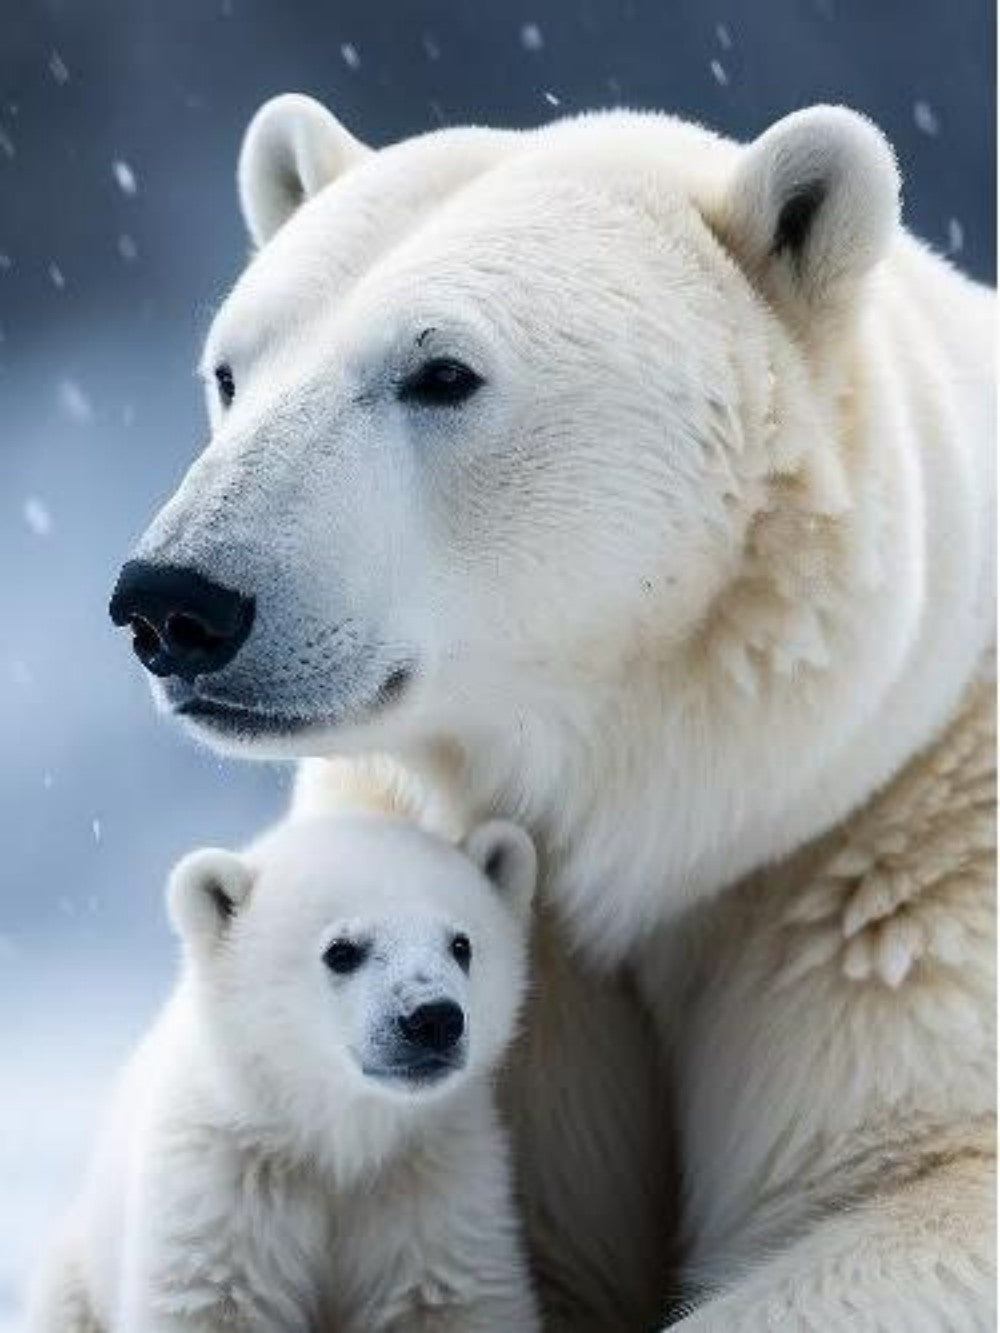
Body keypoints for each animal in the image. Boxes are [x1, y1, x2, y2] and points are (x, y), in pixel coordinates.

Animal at [28, 810, 544, 1333]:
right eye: (341, 950)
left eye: (461, 944)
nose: (433, 1019)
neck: (337, 1142)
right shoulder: (224, 1189)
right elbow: (209, 1299)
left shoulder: (434, 1188)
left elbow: (451, 1298)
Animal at [109, 95, 995, 1328]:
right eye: (231, 371)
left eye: (441, 371)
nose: (174, 603)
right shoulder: (500, 931)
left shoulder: (898, 871)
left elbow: (921, 1190)